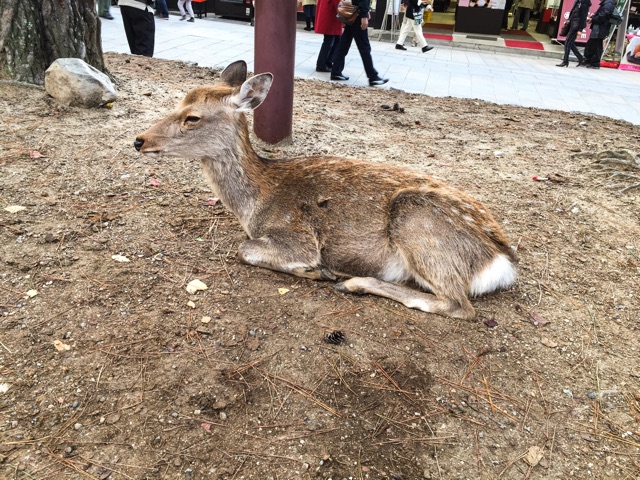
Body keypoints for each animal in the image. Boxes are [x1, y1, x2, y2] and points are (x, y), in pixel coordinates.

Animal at [134, 62, 516, 320]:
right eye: (178, 103)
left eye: (192, 117)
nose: (139, 140)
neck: (255, 202)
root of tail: (501, 261)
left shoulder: (297, 235)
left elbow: (245, 249)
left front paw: (312, 270)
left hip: (419, 222)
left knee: (458, 304)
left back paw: (350, 281)